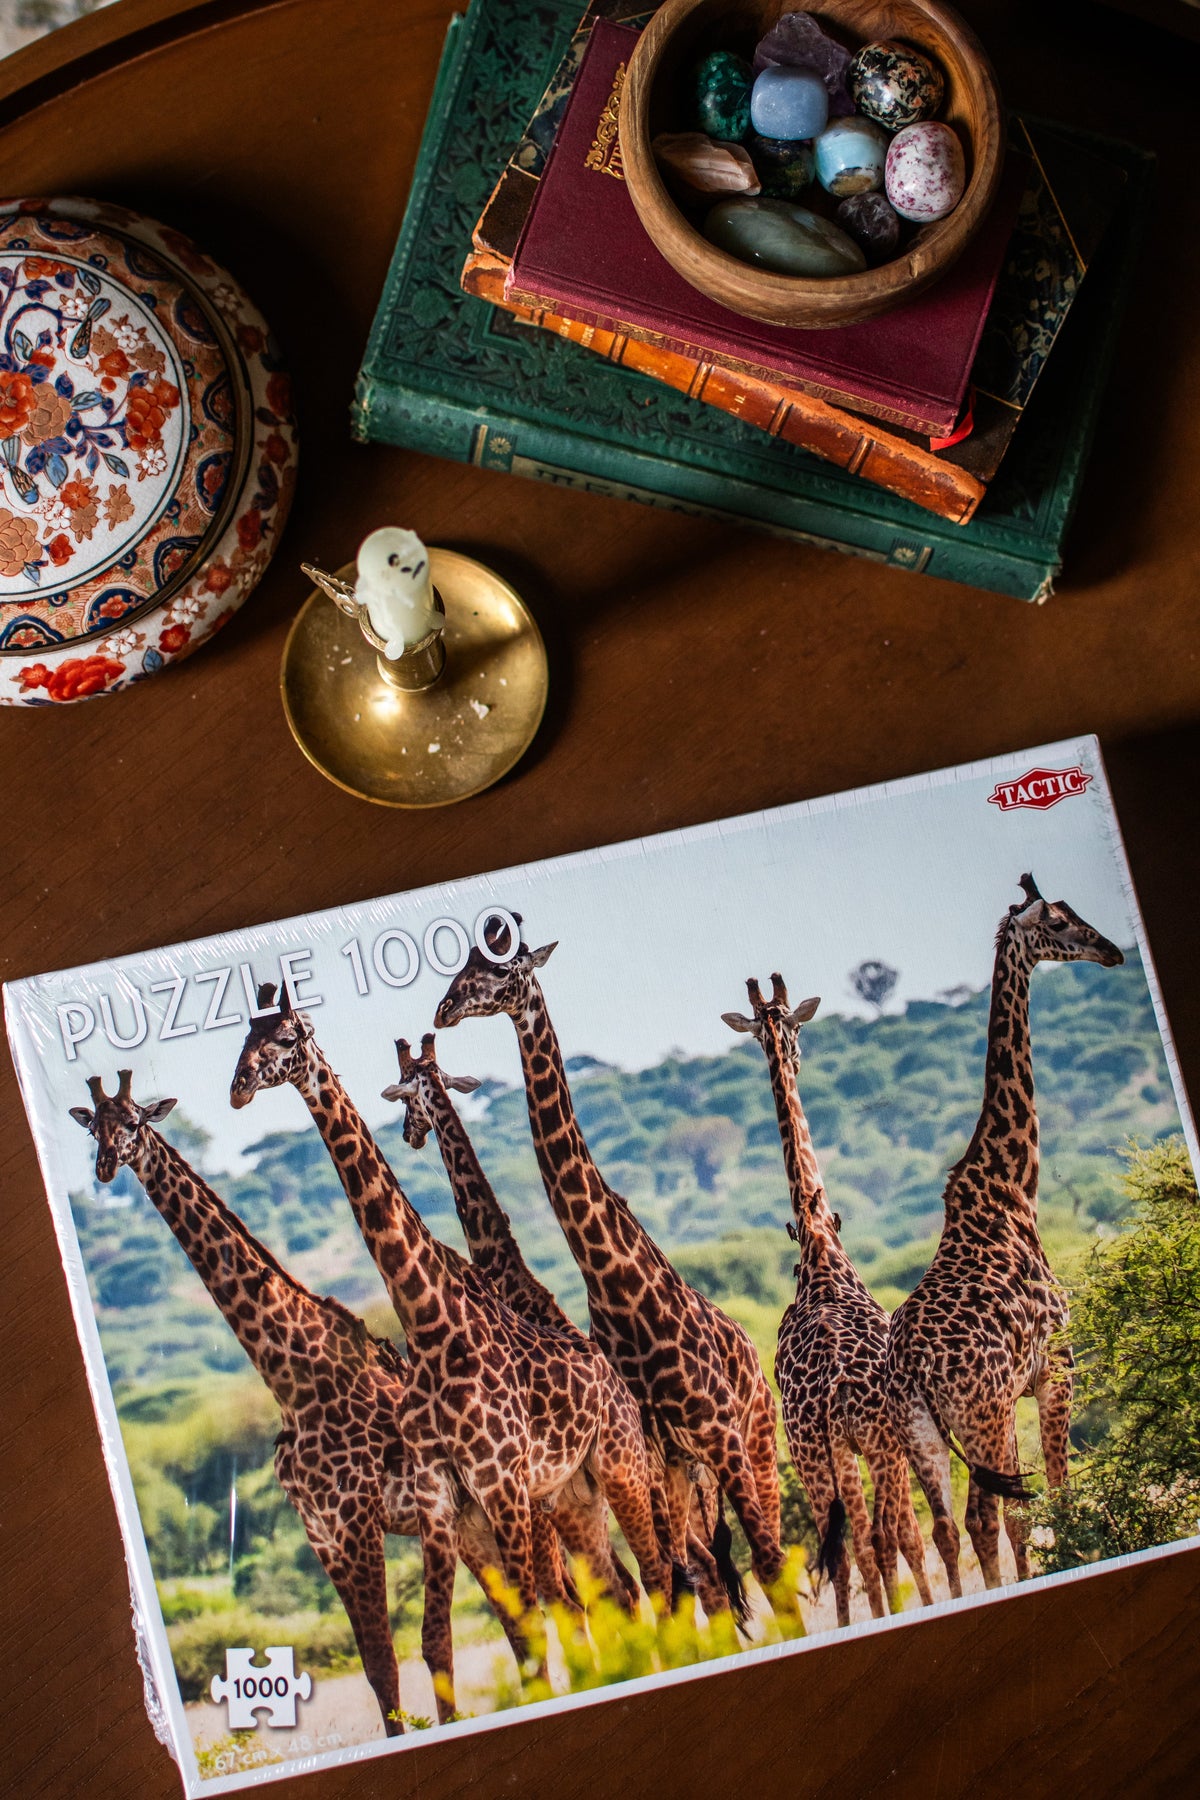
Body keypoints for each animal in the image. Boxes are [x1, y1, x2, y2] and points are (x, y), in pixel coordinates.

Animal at [67, 1069, 540, 1735]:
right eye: (95, 1130)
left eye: (133, 1121)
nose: (107, 1167)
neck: (292, 1382)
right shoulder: (321, 1535)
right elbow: (374, 1666)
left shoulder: (357, 1520)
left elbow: (394, 1656)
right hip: (472, 1525)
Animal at [229, 988, 672, 1718]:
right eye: (245, 1038)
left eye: (287, 1036)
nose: (238, 1087)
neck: (436, 1330)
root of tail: (614, 1379)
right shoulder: (441, 1494)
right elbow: (457, 1635)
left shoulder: (500, 1482)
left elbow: (533, 1617)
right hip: (571, 1495)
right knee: (623, 1588)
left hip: (619, 1469)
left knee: (657, 1575)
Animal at [434, 933, 799, 1627]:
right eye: (462, 968)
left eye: (501, 970)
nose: (443, 1010)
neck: (616, 1284)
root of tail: (748, 1341)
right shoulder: (658, 1453)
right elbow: (679, 1582)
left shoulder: (715, 1432)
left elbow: (758, 1565)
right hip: (682, 1469)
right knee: (699, 1571)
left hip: (755, 1437)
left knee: (778, 1550)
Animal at [723, 976, 932, 1626]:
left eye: (784, 1027)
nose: (791, 1056)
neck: (817, 1240)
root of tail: (836, 1394)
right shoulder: (891, 1436)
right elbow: (907, 1537)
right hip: (866, 1446)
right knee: (887, 1539)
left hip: (813, 1454)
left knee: (843, 1550)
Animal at [886, 873, 1124, 1594]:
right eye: (1061, 923)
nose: (1112, 951)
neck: (1014, 1187)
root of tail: (913, 1370)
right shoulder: (1057, 1367)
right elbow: (1061, 1490)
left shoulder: (1016, 1392)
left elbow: (1023, 1513)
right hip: (980, 1419)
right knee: (983, 1516)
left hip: (924, 1435)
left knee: (948, 1526)